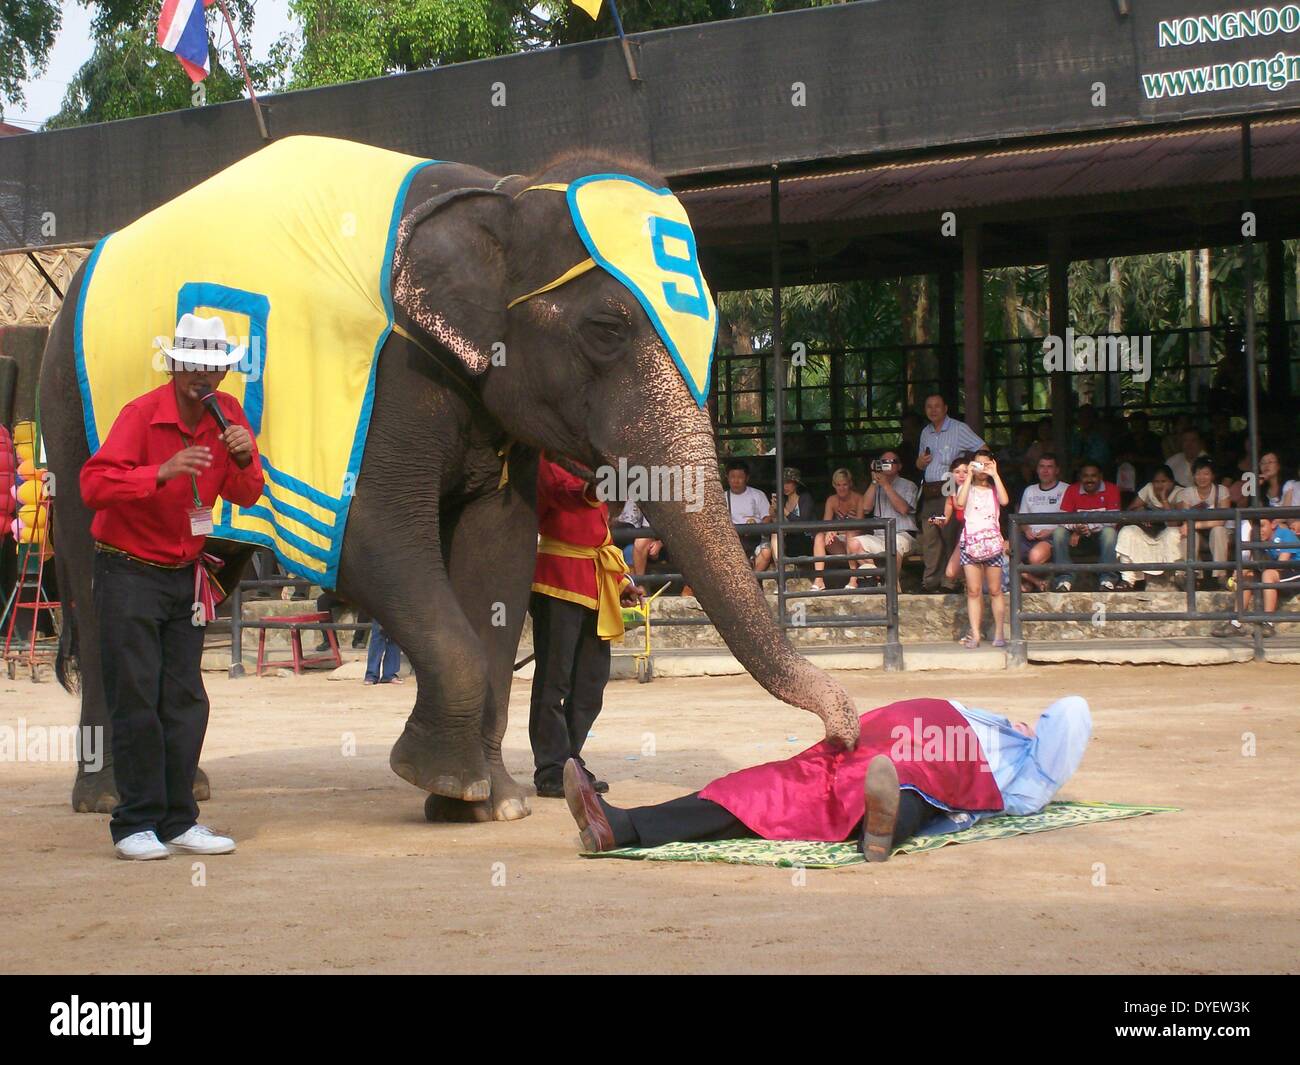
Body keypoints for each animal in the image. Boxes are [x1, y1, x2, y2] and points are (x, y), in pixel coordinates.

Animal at [39, 144, 862, 825]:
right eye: (607, 327)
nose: (845, 734)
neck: (502, 191)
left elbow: (499, 555)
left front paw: (481, 804)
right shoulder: (389, 374)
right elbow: (376, 544)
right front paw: (448, 782)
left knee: (206, 577)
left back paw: (192, 785)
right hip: (70, 416)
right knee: (96, 579)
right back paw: (108, 796)